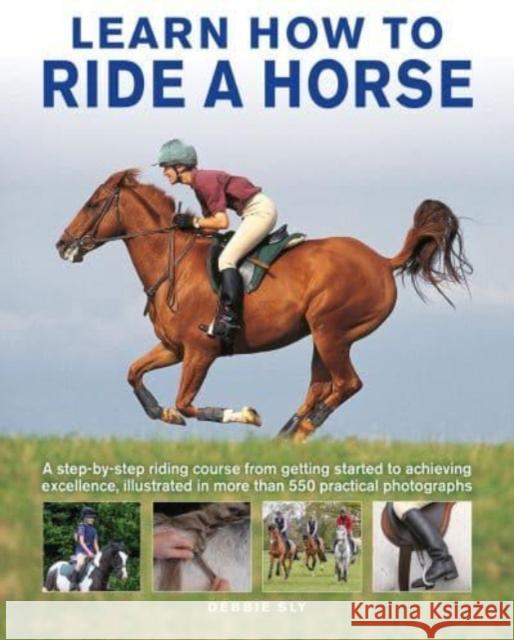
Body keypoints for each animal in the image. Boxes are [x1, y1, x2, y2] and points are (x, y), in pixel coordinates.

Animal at [56, 169, 472, 442]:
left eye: (93, 204)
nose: (62, 244)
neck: (172, 263)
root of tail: (383, 262)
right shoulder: (173, 348)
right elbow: (133, 373)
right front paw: (162, 413)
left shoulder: (200, 351)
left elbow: (187, 403)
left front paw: (245, 414)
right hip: (322, 336)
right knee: (321, 385)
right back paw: (288, 434)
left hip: (332, 331)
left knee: (346, 383)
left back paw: (300, 431)